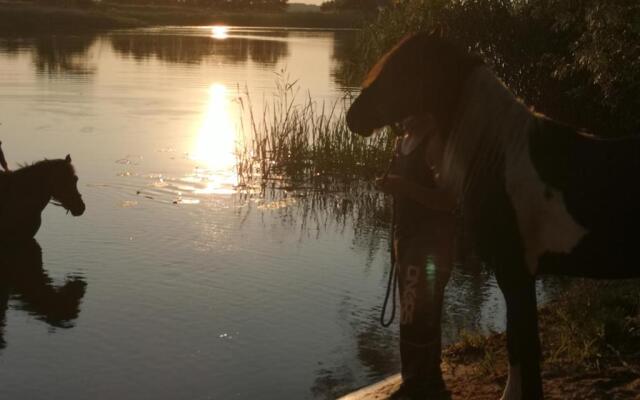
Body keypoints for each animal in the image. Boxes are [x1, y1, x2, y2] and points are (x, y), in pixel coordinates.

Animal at [348, 32, 636, 400]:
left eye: (403, 70)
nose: (353, 117)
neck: (500, 161)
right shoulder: (519, 275)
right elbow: (522, 346)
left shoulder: (514, 272)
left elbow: (522, 347)